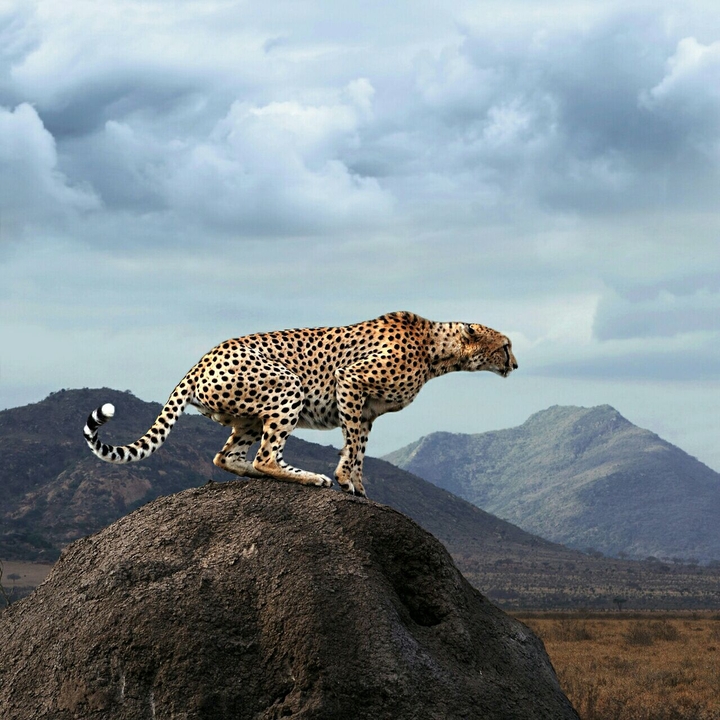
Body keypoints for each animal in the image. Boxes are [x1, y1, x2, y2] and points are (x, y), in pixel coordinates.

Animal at [84, 311, 518, 498]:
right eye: (506, 345)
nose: (515, 364)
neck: (436, 350)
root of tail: (202, 359)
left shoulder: (367, 410)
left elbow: (359, 446)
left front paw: (359, 485)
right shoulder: (350, 381)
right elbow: (353, 446)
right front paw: (344, 479)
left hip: (247, 417)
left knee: (228, 457)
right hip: (287, 386)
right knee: (265, 457)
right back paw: (309, 477)